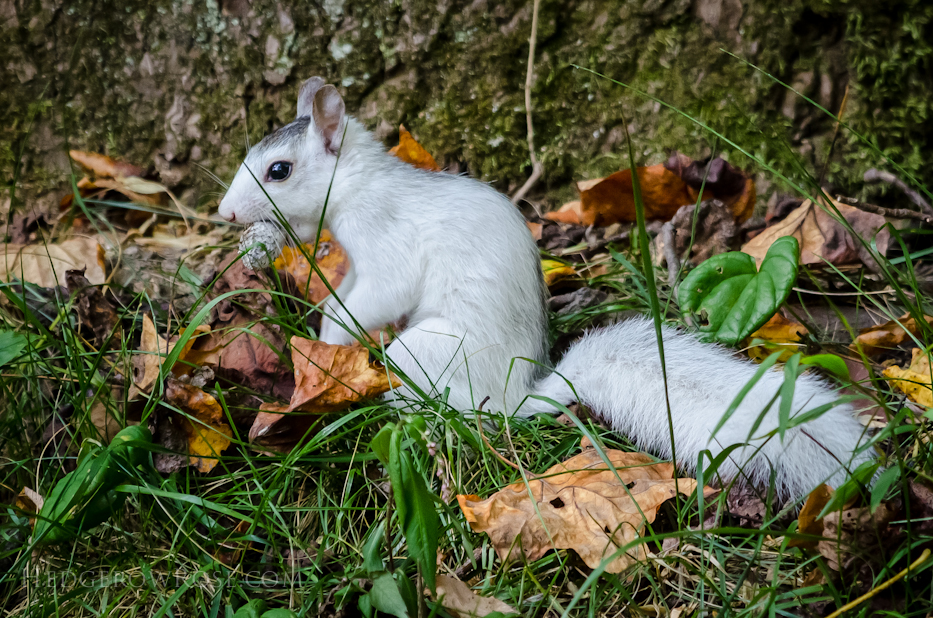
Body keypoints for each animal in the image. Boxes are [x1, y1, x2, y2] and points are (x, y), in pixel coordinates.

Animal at [218, 78, 872, 500]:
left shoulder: (387, 245)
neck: (357, 184)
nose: (225, 214)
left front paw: (331, 341)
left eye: (280, 171)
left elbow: (373, 295)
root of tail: (513, 399)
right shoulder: (357, 260)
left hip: (426, 356)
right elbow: (348, 287)